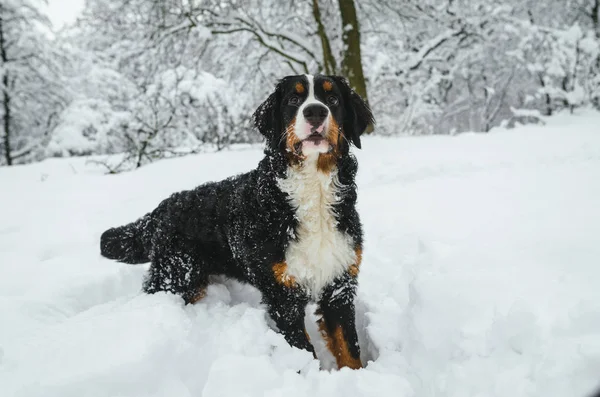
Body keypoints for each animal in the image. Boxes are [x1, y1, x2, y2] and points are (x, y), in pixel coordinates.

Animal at [100, 73, 372, 368]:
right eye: (294, 99)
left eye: (332, 99)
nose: (315, 111)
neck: (314, 195)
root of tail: (161, 210)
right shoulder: (282, 294)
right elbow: (303, 349)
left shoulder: (339, 283)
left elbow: (349, 349)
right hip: (176, 276)